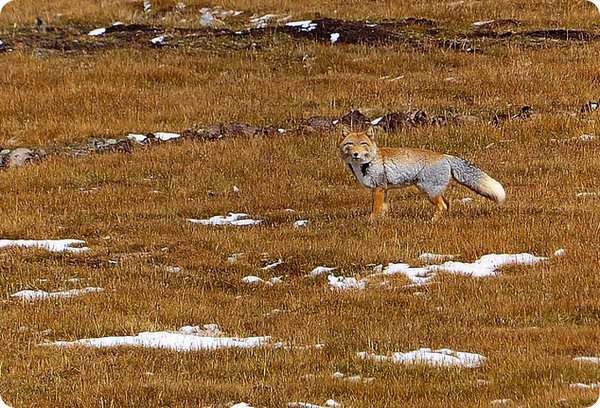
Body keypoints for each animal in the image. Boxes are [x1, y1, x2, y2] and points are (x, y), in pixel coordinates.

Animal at [340, 127, 504, 218]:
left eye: (363, 144)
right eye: (350, 144)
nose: (356, 154)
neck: (368, 162)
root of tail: (445, 155)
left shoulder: (378, 188)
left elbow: (375, 210)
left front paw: (371, 223)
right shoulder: (384, 189)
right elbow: (383, 210)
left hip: (428, 191)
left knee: (443, 207)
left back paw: (431, 222)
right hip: (434, 191)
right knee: (448, 205)